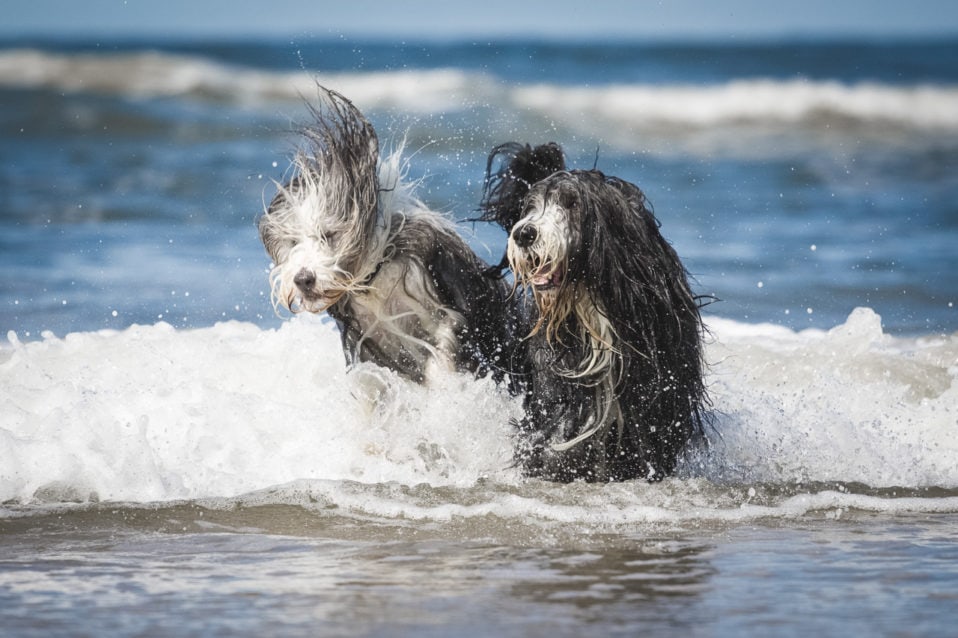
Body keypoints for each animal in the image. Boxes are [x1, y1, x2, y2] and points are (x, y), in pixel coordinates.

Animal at [260, 87, 516, 388]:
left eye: (330, 234)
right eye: (293, 242)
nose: (303, 279)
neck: (375, 276)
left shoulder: (443, 313)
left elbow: (443, 350)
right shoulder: (367, 337)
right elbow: (368, 378)